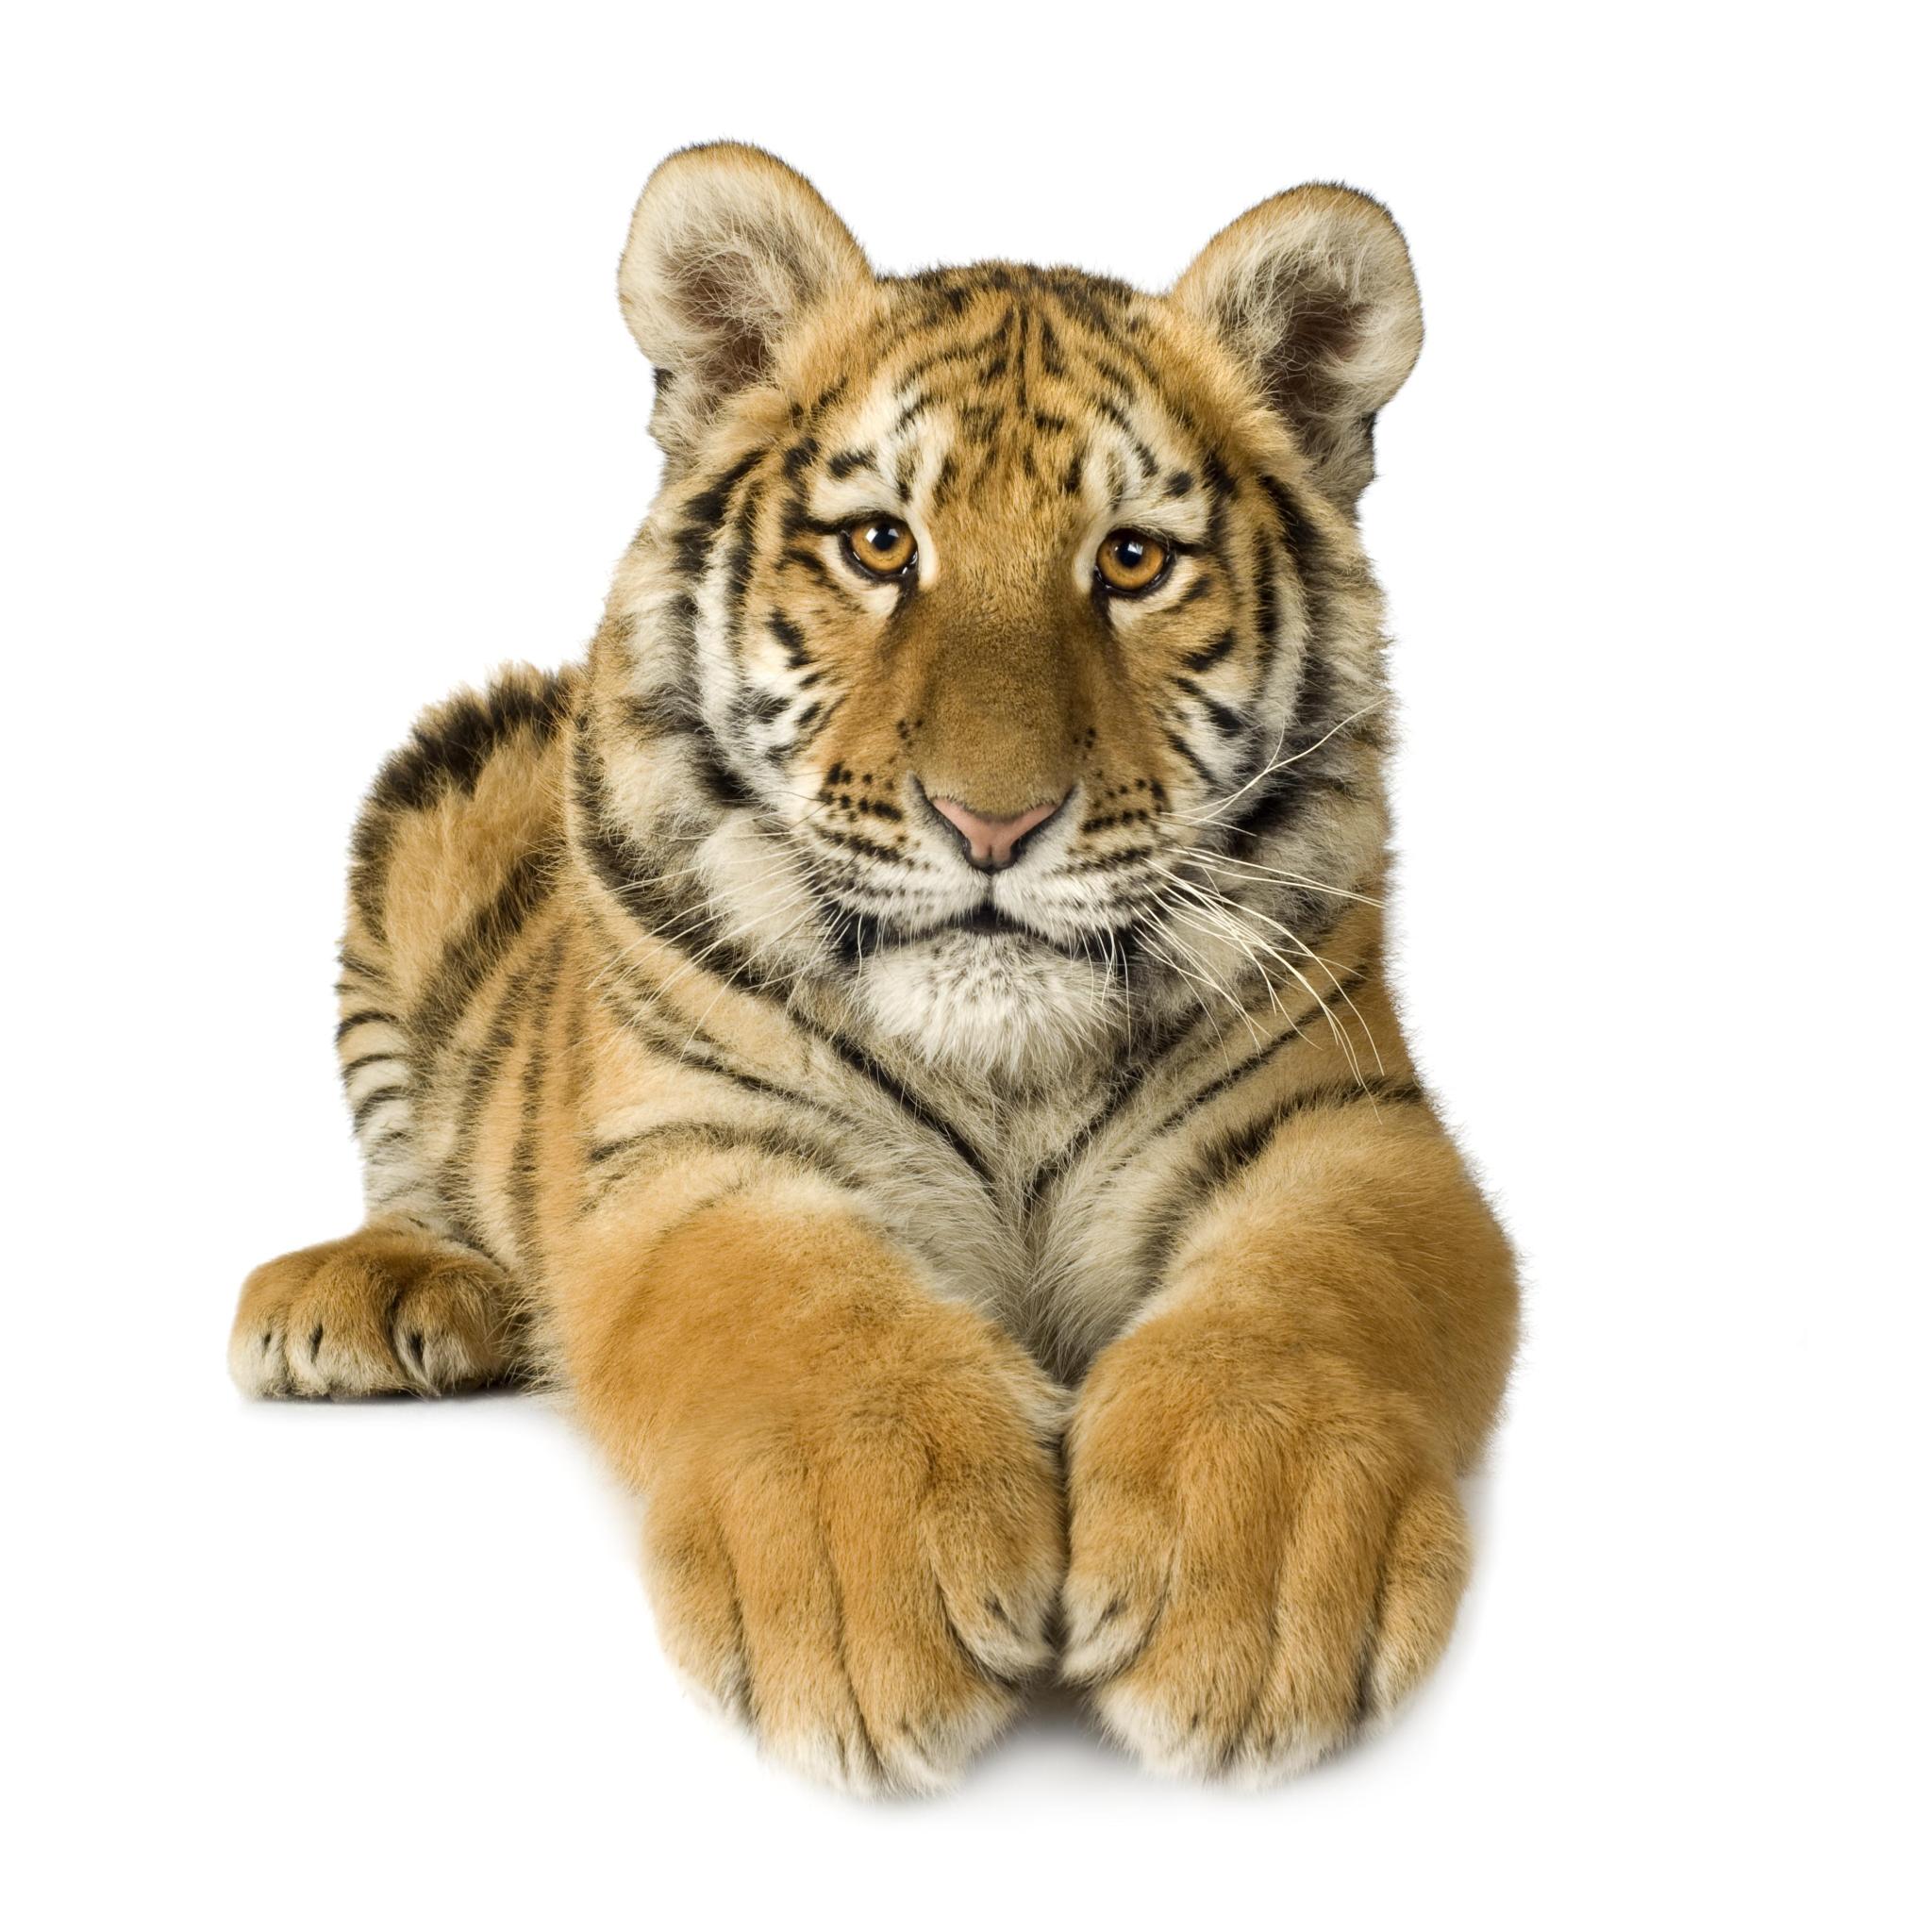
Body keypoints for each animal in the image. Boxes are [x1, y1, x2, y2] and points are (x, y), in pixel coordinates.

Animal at [230, 142, 1519, 1795]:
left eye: (1132, 561)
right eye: (880, 544)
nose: (994, 822)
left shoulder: (1349, 1125)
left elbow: (1303, 1303)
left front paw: (1253, 1582)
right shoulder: (692, 1154)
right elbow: (797, 1317)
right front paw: (872, 1582)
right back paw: (377, 1296)